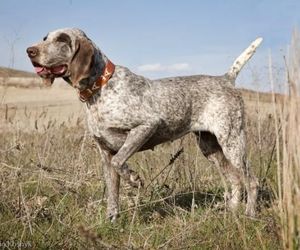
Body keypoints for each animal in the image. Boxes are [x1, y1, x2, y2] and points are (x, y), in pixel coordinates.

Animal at [27, 28, 262, 222]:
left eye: (62, 39)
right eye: (45, 38)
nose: (30, 51)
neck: (100, 88)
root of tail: (226, 79)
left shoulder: (145, 127)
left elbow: (121, 162)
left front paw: (134, 179)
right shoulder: (105, 154)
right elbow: (112, 194)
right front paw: (112, 221)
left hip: (232, 143)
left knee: (251, 181)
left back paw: (249, 215)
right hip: (211, 148)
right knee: (235, 180)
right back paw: (232, 213)